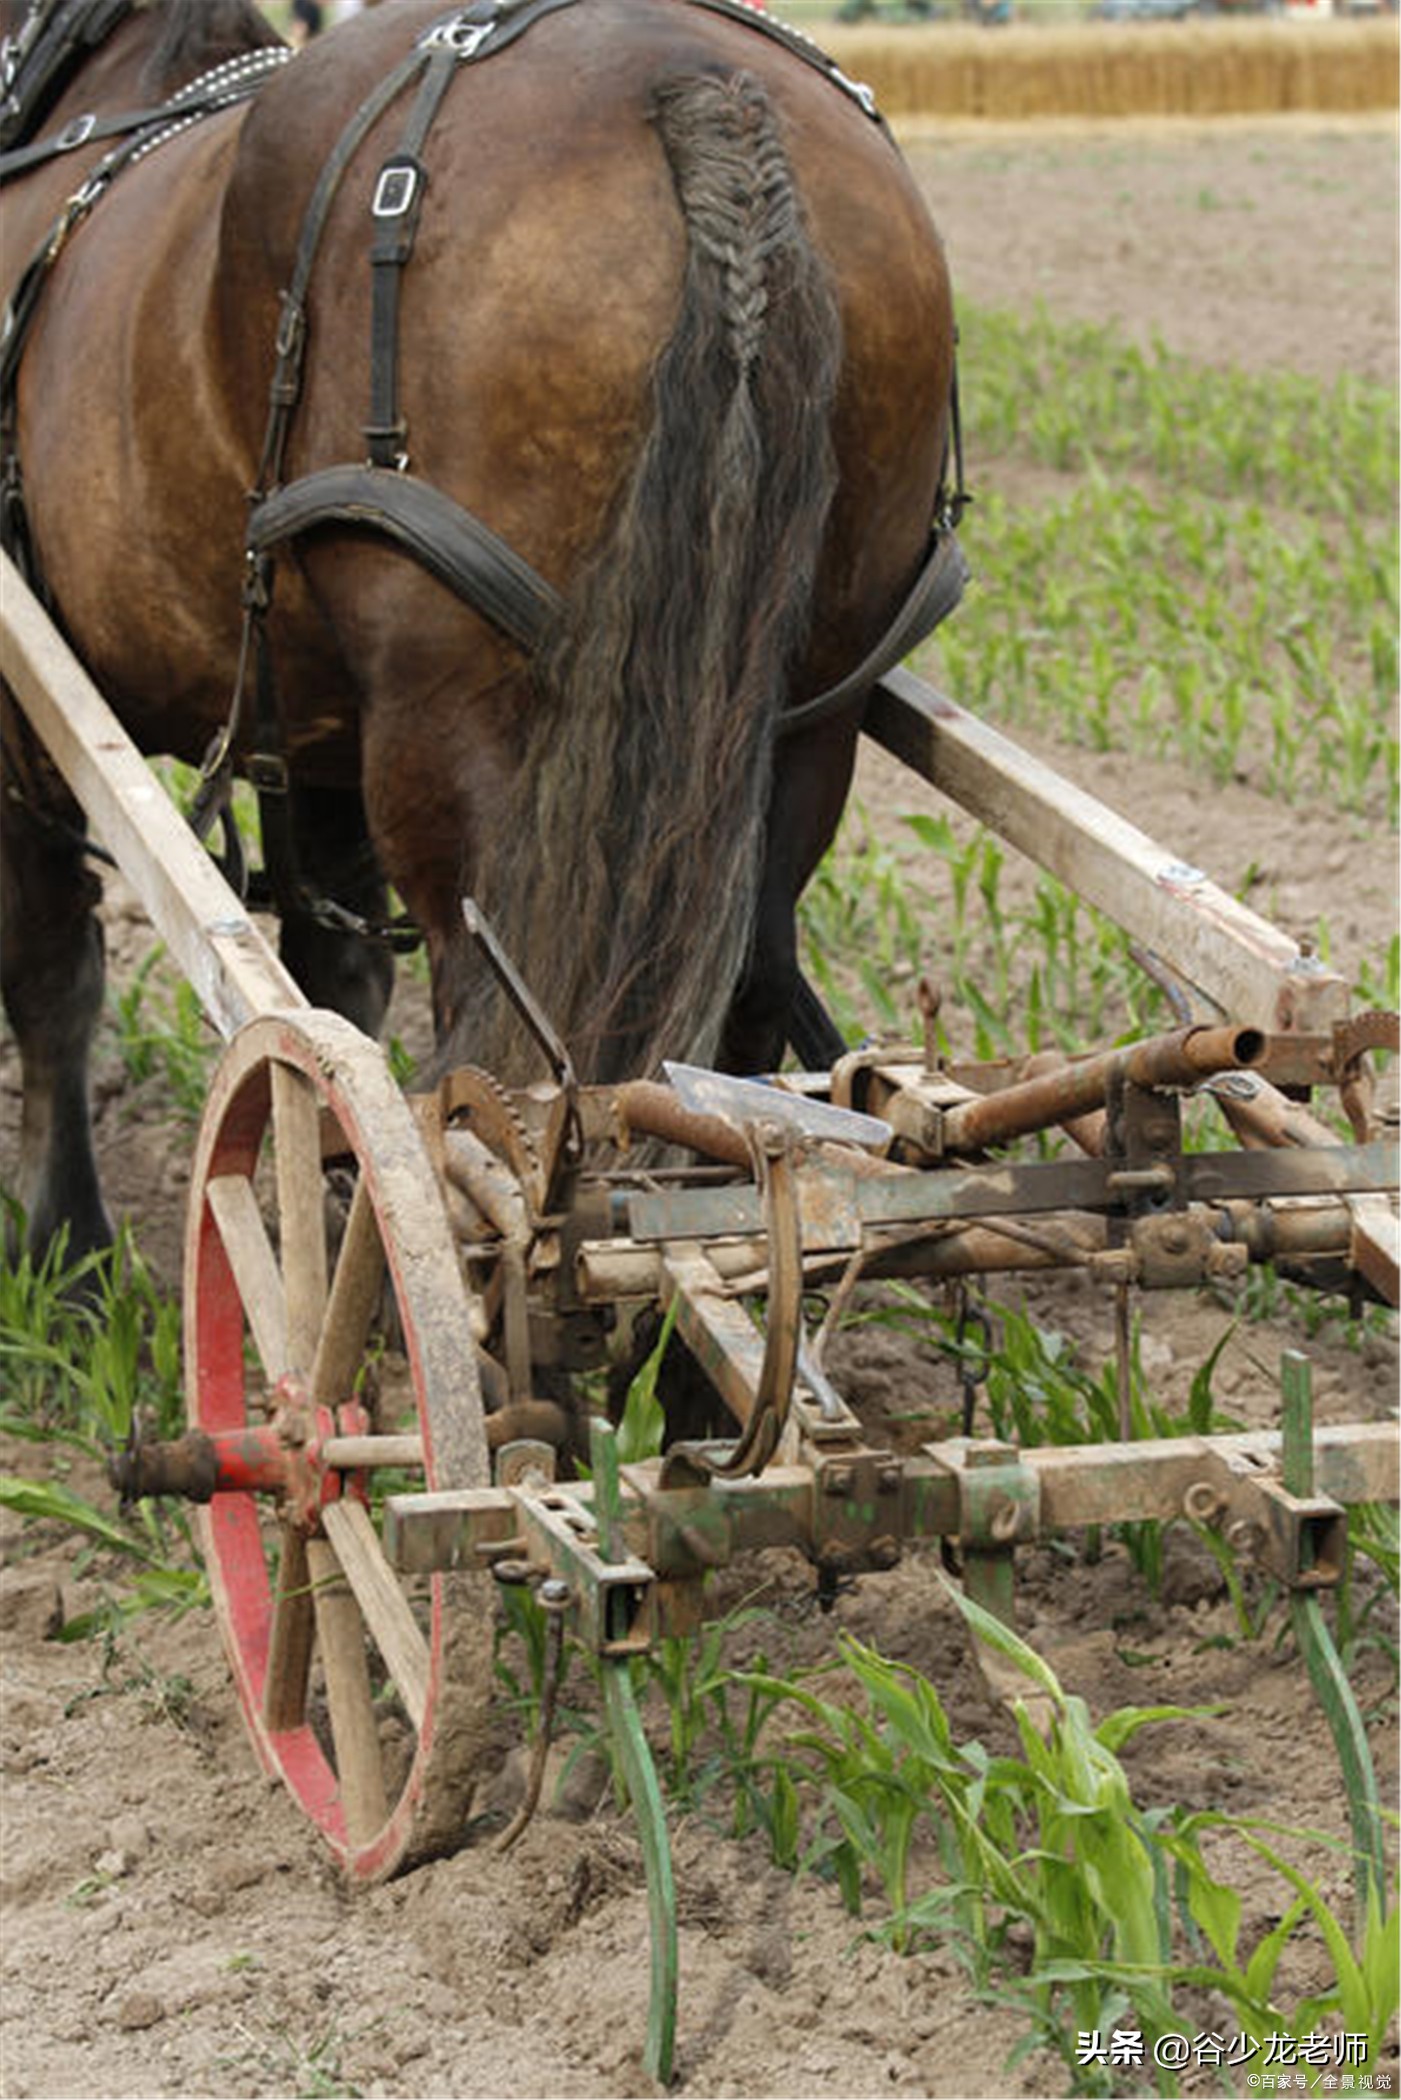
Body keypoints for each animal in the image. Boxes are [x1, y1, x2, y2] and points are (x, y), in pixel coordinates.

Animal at [0, 0, 957, 1260]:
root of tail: (703, 87)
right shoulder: (316, 737)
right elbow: (334, 968)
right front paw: (325, 1192)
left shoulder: (25, 710)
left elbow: (53, 967)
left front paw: (65, 1245)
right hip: (807, 714)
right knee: (742, 1016)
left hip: (461, 730)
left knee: (503, 1072)